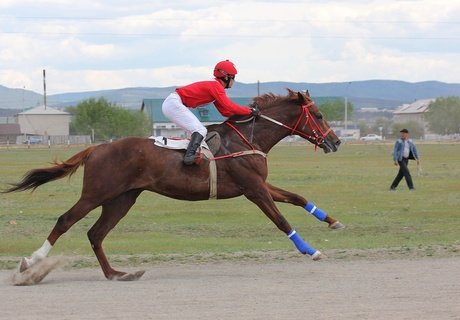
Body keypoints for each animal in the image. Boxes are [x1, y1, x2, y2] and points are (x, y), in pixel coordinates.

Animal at [2, 89, 342, 282]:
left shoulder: (258, 184)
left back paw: (117, 274)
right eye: (319, 114)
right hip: (98, 192)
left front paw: (332, 220)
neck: (249, 139)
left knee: (95, 233)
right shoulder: (253, 190)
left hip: (122, 198)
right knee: (66, 221)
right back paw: (30, 263)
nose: (336, 141)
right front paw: (311, 250)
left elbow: (297, 197)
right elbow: (282, 221)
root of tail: (97, 148)